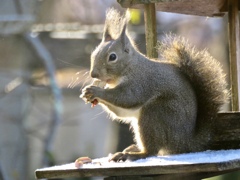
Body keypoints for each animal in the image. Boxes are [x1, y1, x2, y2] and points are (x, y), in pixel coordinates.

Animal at [80, 8, 229, 162]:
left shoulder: (140, 82)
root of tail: (186, 142)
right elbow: (121, 111)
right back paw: (132, 149)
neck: (130, 67)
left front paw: (96, 91)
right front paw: (88, 93)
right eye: (93, 54)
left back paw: (133, 154)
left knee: (152, 151)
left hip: (156, 113)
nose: (93, 74)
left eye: (112, 57)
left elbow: (126, 97)